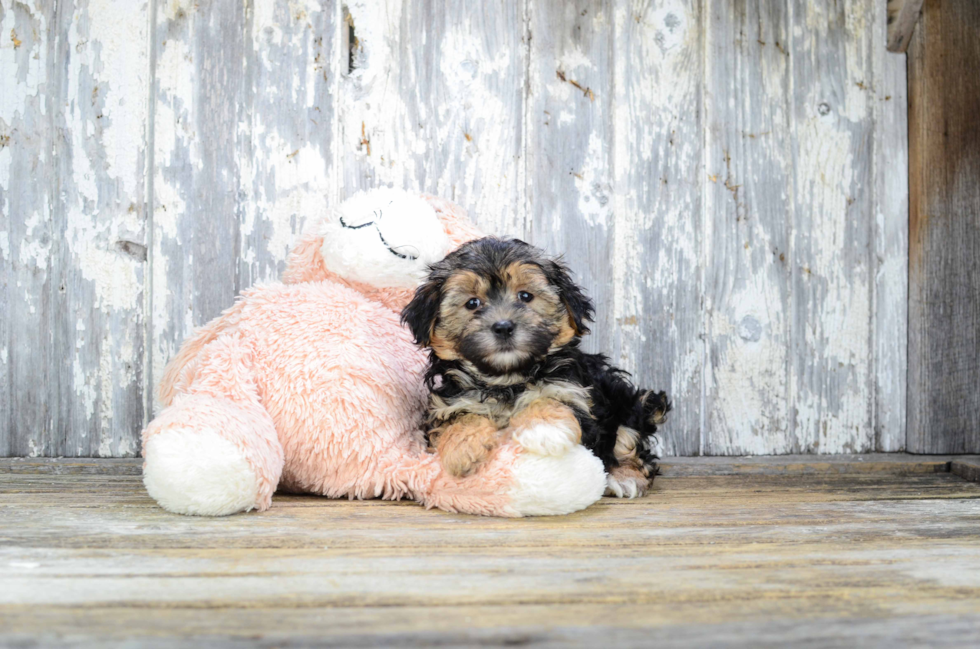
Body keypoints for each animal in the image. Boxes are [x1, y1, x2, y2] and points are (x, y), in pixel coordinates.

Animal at [402, 238, 668, 496]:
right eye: (472, 303)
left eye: (525, 296)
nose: (503, 327)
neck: (507, 379)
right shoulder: (449, 403)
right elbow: (459, 416)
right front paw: (461, 446)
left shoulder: (574, 392)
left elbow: (548, 397)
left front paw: (545, 430)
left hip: (624, 401)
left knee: (628, 440)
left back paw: (625, 477)